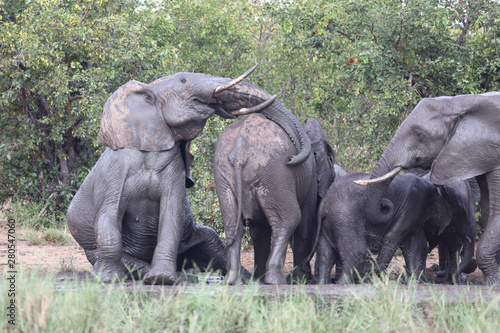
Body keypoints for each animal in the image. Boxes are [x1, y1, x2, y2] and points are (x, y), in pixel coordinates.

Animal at [67, 66, 310, 284]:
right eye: (183, 80)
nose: (292, 159)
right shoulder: (116, 170)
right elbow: (109, 215)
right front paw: (107, 280)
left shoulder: (174, 168)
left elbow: (171, 214)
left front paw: (161, 279)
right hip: (91, 249)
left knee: (214, 243)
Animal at [215, 115, 336, 284]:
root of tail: (240, 152)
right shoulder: (310, 178)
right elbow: (304, 227)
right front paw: (300, 279)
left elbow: (259, 231)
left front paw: (259, 278)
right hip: (275, 173)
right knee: (290, 219)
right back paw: (275, 281)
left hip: (224, 174)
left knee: (232, 224)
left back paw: (233, 280)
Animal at [314, 171, 448, 282]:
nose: (383, 203)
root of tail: (324, 203)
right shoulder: (411, 207)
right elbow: (393, 237)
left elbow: (414, 245)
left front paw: (417, 282)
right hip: (345, 218)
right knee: (356, 255)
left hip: (330, 222)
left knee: (326, 257)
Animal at [358, 92, 500, 284]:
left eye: (419, 134)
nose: (385, 204)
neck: (462, 102)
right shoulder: (484, 153)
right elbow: (487, 209)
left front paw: (494, 282)